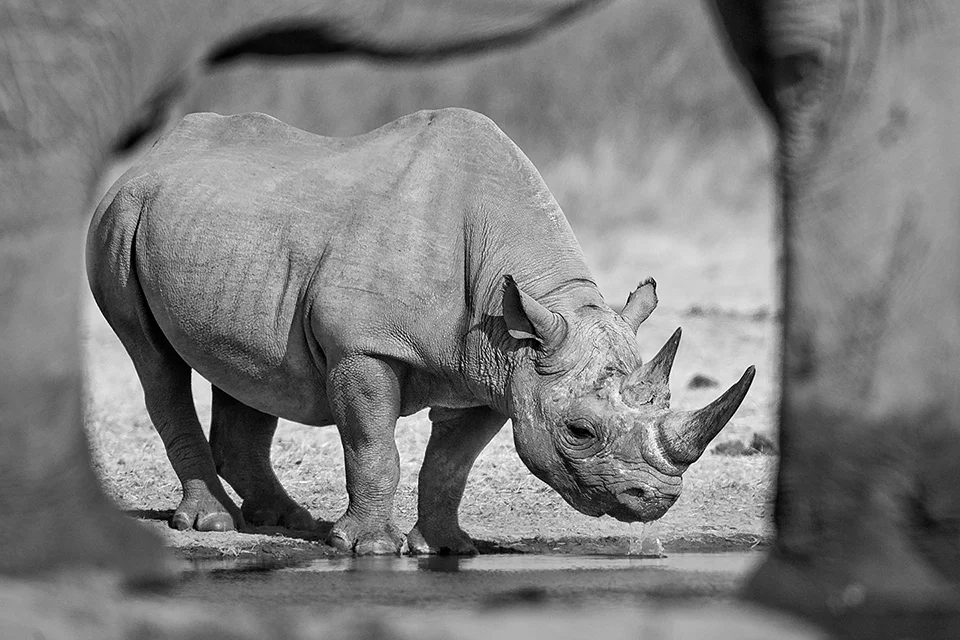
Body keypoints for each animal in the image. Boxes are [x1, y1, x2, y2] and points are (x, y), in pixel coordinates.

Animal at [88, 108, 754, 555]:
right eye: (579, 431)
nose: (656, 500)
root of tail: (150, 154)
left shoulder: (499, 369)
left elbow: (451, 464)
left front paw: (448, 548)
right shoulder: (365, 347)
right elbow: (373, 445)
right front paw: (369, 548)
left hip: (229, 239)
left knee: (250, 370)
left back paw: (288, 523)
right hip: (120, 219)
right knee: (154, 361)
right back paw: (215, 524)